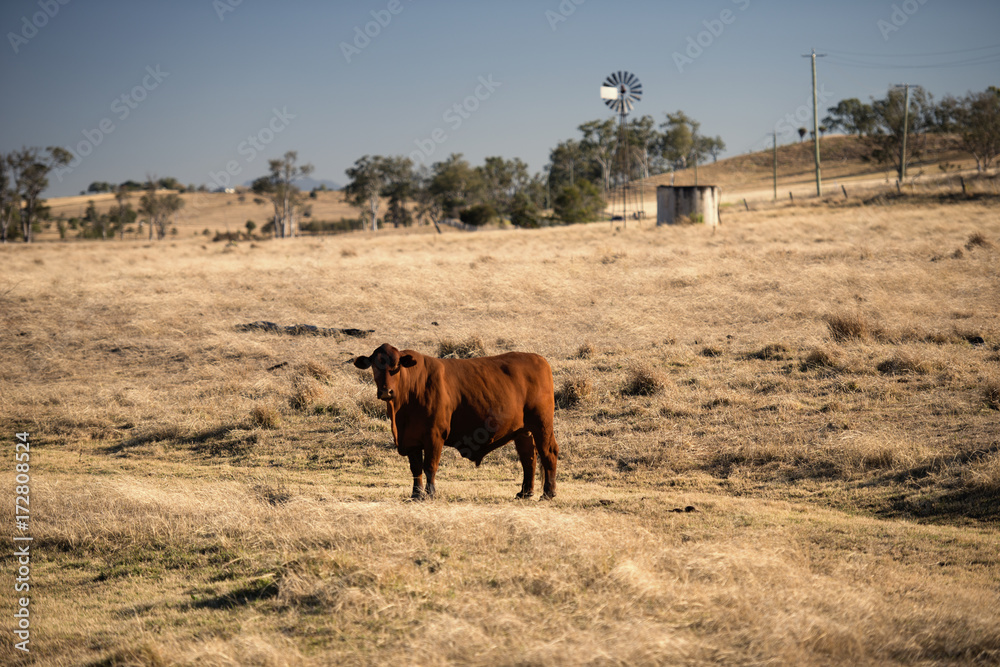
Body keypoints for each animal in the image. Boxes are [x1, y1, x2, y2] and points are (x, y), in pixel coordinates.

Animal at [354, 344, 560, 500]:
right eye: (374, 366)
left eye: (396, 366)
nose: (385, 391)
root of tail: (538, 359)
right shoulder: (411, 439)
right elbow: (416, 468)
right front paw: (416, 495)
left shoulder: (434, 436)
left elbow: (430, 466)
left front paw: (430, 494)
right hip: (523, 431)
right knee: (528, 458)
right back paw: (525, 492)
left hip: (542, 425)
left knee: (548, 453)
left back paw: (548, 494)